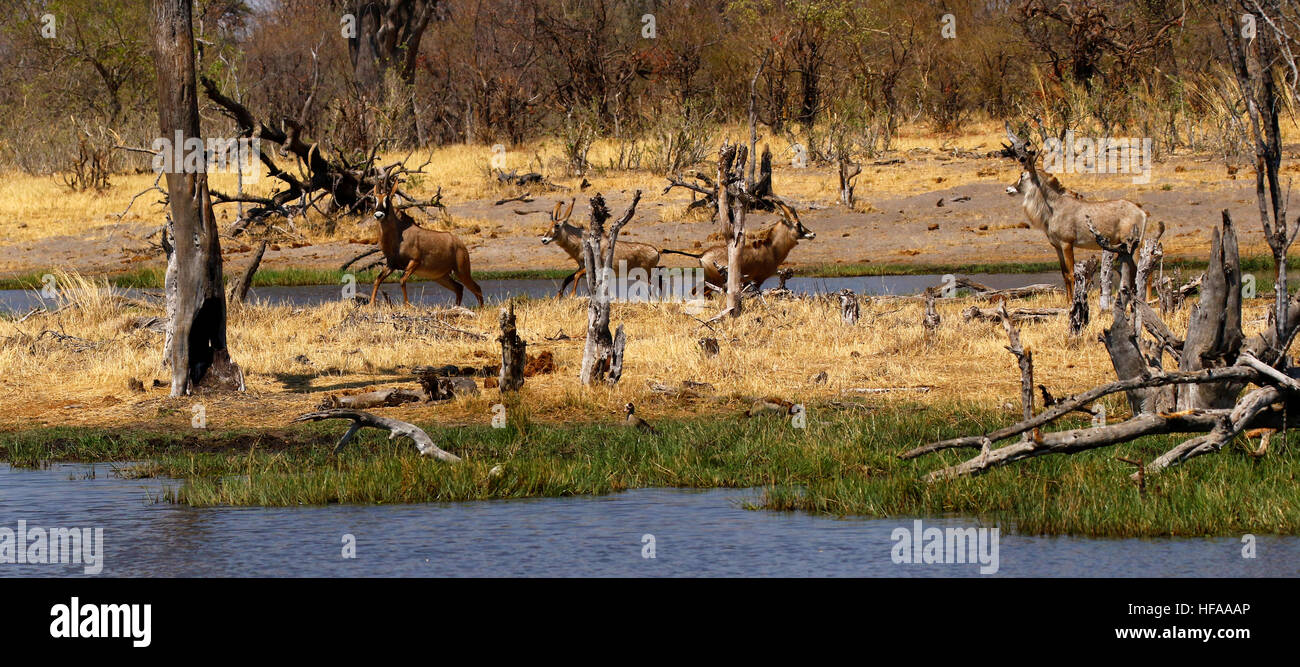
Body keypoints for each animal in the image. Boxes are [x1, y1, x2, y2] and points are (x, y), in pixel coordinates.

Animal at [665, 198, 816, 289]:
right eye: (798, 224)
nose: (813, 234)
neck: (770, 247)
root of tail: (702, 255)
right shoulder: (757, 280)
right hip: (717, 281)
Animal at [998, 122, 1164, 299]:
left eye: (1022, 175)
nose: (1008, 189)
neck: (1054, 208)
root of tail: (1142, 212)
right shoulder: (1056, 246)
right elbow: (1064, 274)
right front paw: (1068, 301)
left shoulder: (1067, 244)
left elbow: (1071, 274)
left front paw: (1072, 301)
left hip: (1135, 245)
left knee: (1145, 271)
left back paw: (1147, 300)